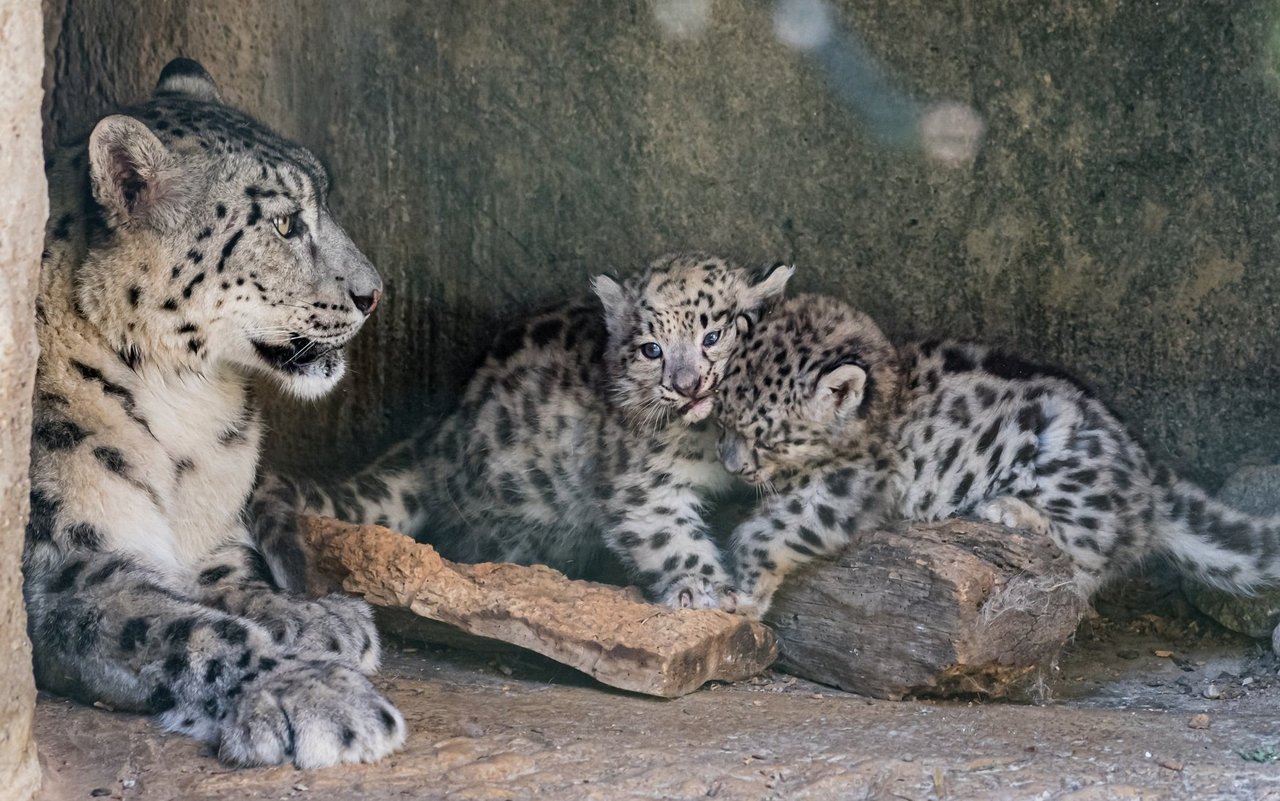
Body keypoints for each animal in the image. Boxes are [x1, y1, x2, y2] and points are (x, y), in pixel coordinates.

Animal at [26, 59, 404, 762]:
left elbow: (235, 583)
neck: (188, 417)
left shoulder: (209, 537)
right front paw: (317, 693)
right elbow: (187, 629)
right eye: (284, 224)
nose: (374, 295)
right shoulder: (65, 567)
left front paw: (321, 619)